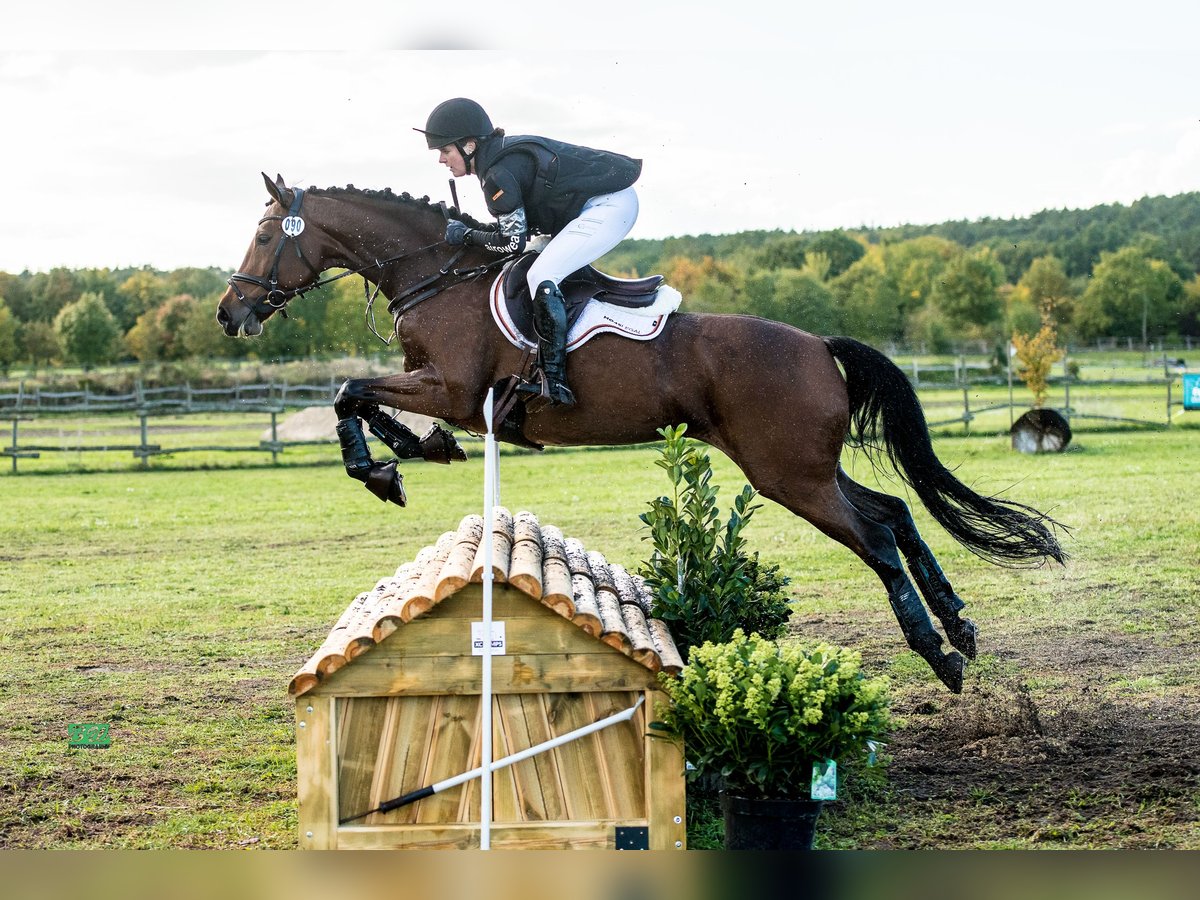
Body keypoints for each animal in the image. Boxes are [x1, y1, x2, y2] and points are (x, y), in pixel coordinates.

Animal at [217, 173, 1065, 693]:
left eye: (263, 236)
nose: (231, 312)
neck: (438, 276)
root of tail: (818, 344)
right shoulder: (445, 391)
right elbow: (359, 396)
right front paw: (408, 456)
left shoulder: (456, 390)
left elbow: (349, 391)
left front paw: (388, 466)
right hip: (802, 467)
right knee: (895, 512)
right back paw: (959, 622)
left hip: (788, 476)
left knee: (878, 535)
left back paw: (939, 653)